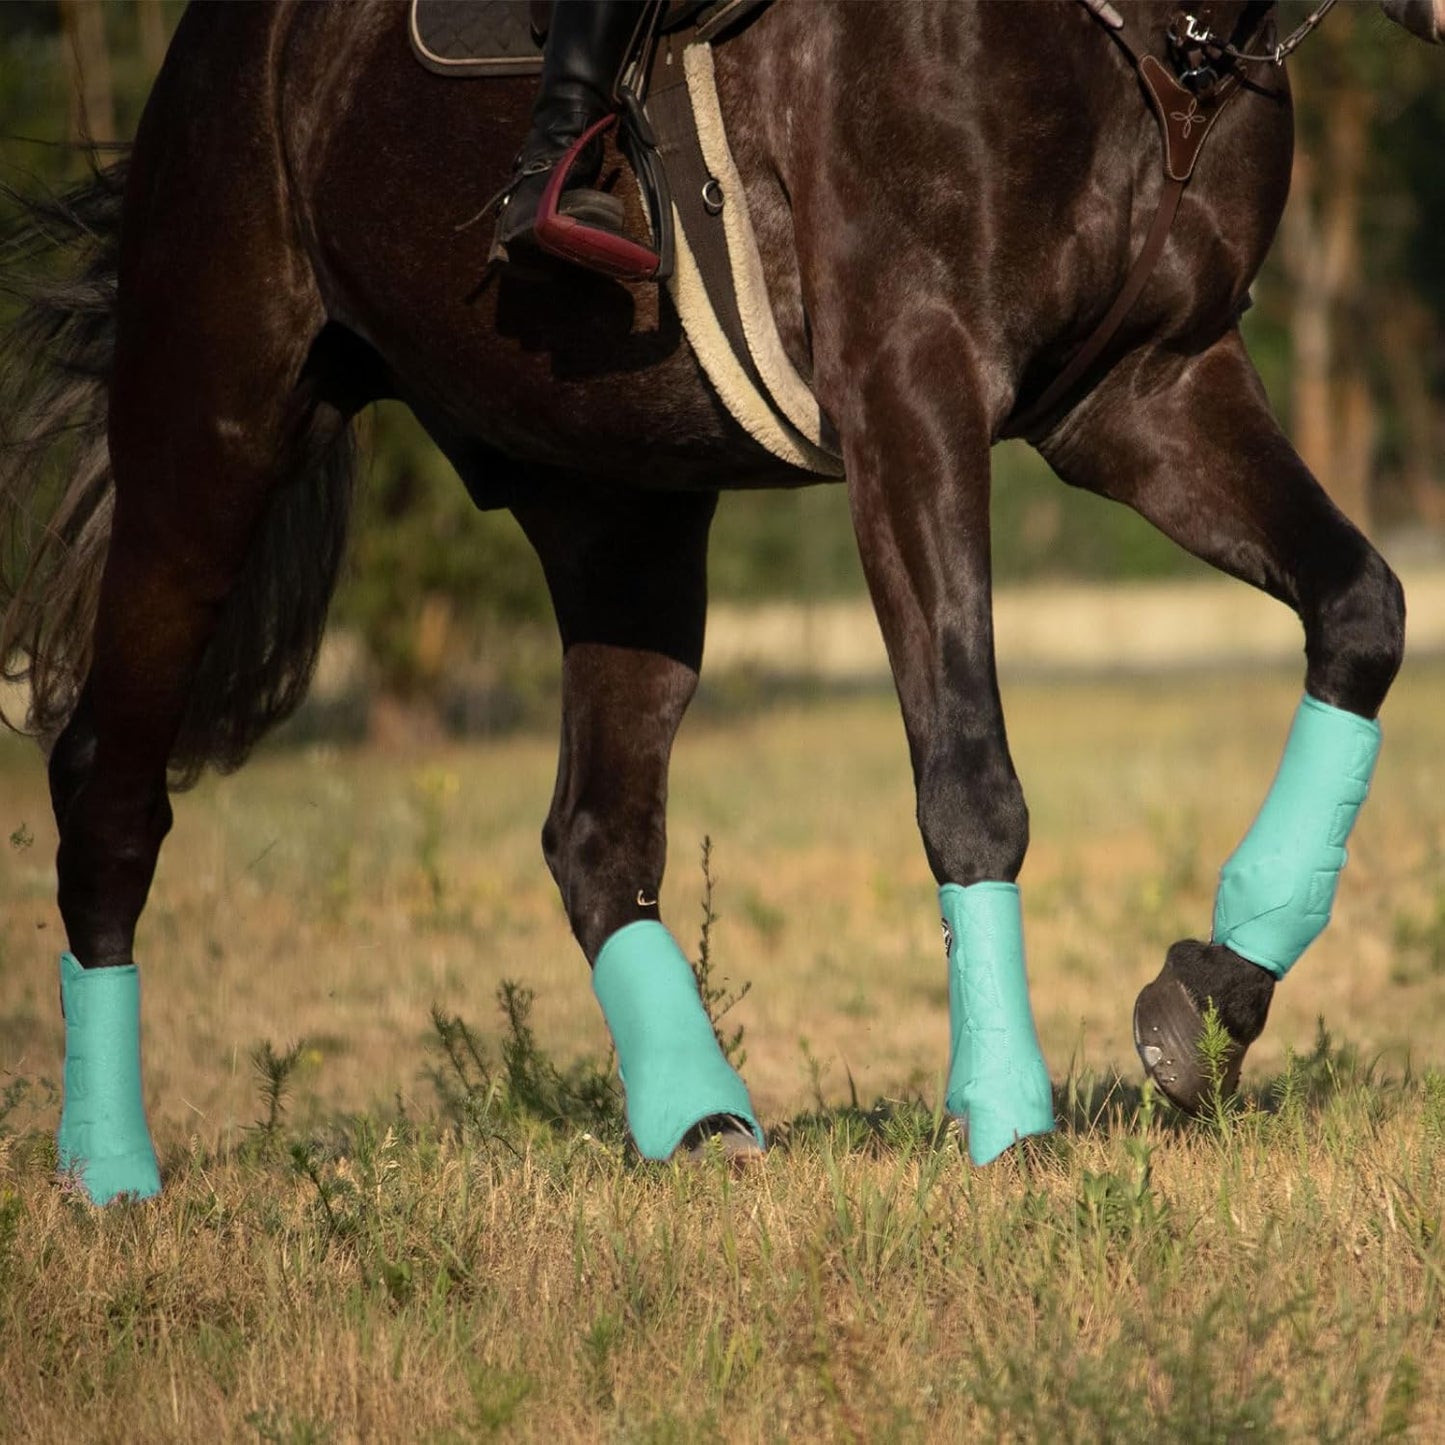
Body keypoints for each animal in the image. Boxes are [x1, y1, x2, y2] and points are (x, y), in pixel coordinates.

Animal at [2, 0, 1441, 1204]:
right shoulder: (911, 396)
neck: (1149, 53)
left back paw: (697, 1116)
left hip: (616, 507)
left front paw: (1208, 997)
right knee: (110, 789)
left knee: (595, 829)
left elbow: (1360, 613)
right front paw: (1007, 1115)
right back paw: (109, 1169)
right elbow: (968, 777)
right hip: (214, 439)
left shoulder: (1147, 394)